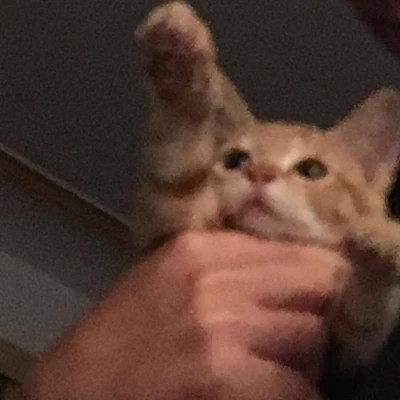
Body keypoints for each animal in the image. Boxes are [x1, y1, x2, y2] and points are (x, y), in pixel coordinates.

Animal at [133, 0, 400, 378]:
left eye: (312, 170)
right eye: (235, 160)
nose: (260, 172)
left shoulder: (345, 355)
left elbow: (364, 318)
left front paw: (383, 241)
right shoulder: (164, 220)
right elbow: (176, 157)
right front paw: (178, 68)